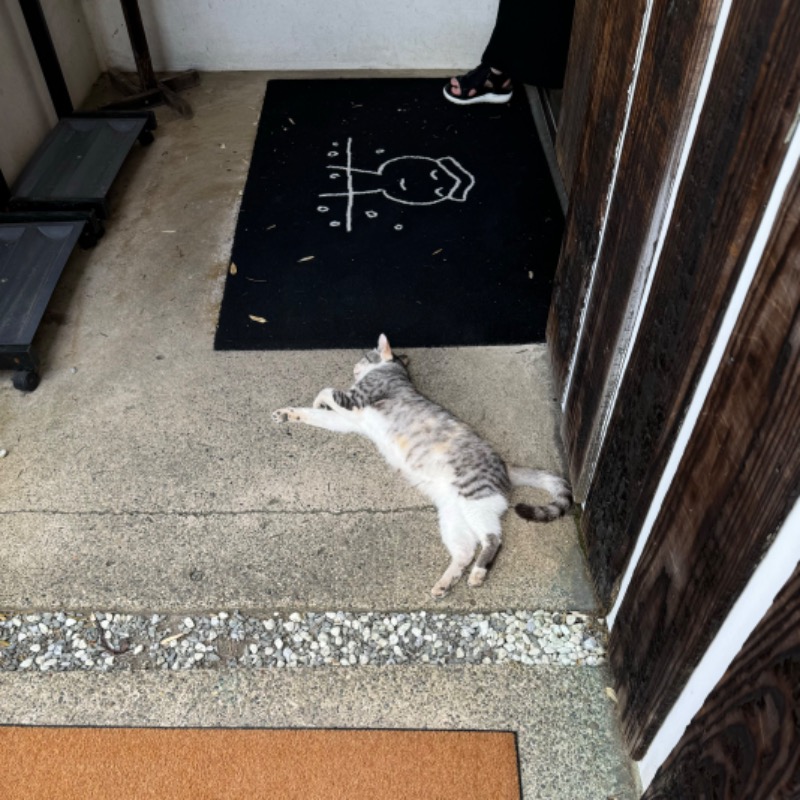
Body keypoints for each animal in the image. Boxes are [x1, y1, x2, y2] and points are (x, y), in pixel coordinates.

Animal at [272, 330, 572, 592]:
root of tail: (506, 465)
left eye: (365, 356)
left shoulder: (355, 398)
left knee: (493, 538)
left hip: (475, 497)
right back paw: (446, 582)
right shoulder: (350, 421)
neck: (397, 373)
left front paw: (318, 400)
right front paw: (287, 413)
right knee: (465, 550)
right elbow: (316, 414)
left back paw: (478, 573)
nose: (354, 365)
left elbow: (327, 391)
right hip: (453, 515)